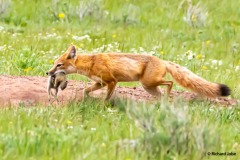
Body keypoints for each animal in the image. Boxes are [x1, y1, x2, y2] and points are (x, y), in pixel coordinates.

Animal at [45, 44, 231, 100]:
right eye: (54, 64)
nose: (47, 73)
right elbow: (86, 90)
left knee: (170, 82)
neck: (91, 63)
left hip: (148, 83)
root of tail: (162, 60)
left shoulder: (111, 82)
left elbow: (106, 99)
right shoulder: (100, 82)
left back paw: (168, 96)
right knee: (163, 93)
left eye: (59, 65)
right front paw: (87, 99)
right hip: (149, 87)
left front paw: (102, 107)